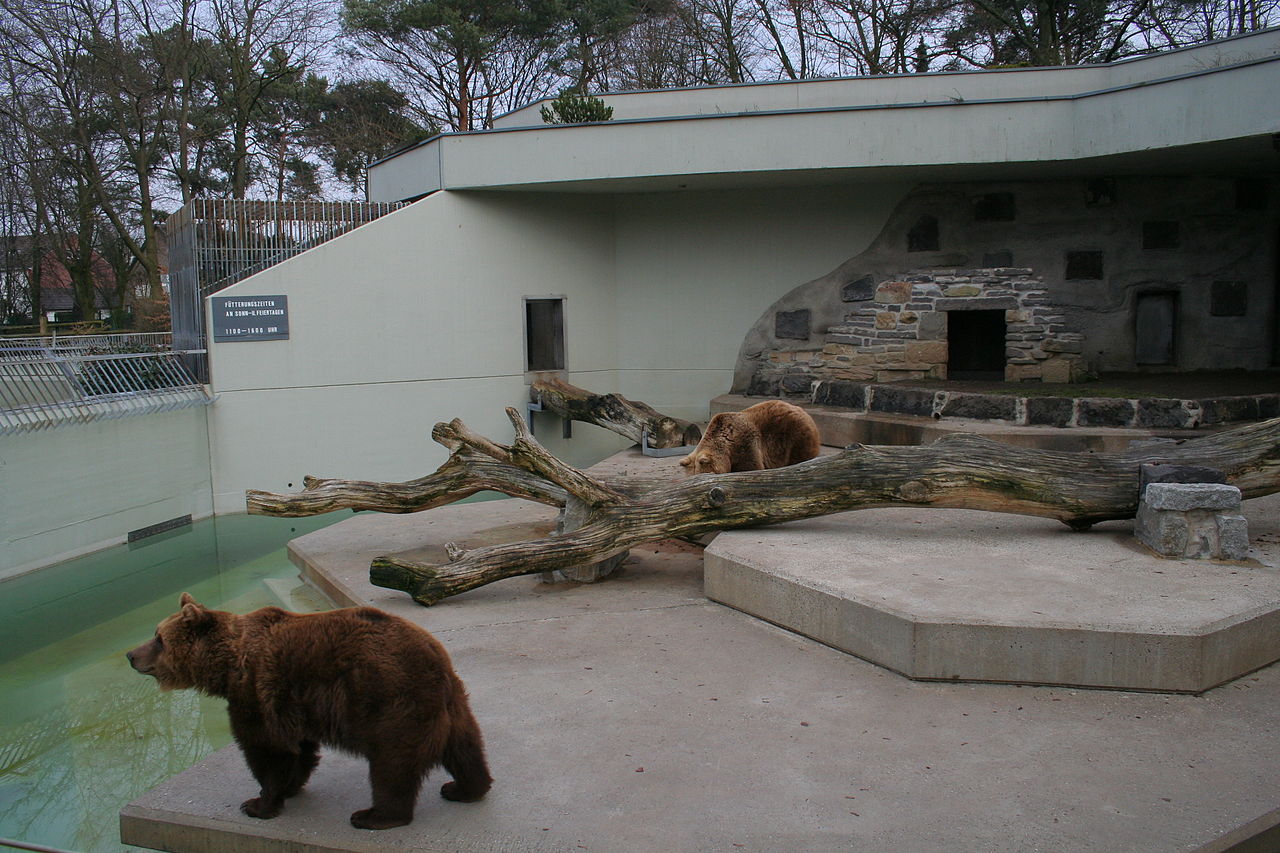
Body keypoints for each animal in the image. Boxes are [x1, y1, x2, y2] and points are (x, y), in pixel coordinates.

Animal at [127, 591, 491, 824]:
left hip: (390, 701)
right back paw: (464, 788)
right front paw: (289, 788)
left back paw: (373, 815)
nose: (131, 655)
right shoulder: (292, 703)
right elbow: (299, 750)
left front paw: (258, 803)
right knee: (465, 748)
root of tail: (436, 658)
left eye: (158, 638)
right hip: (451, 705)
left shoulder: (255, 694)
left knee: (392, 764)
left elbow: (266, 749)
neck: (229, 667)